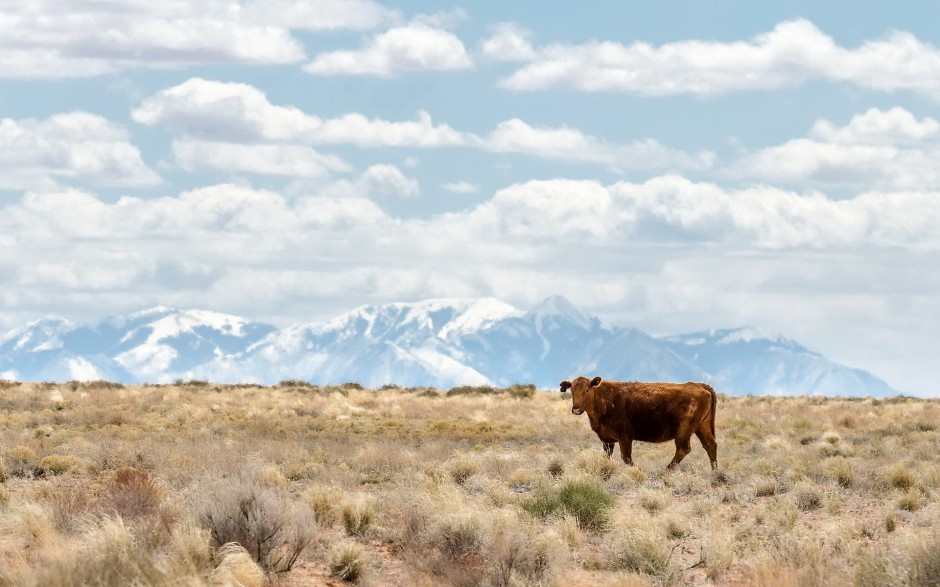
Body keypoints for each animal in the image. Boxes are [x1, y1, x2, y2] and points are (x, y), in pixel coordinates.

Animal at [560, 376, 720, 474]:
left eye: (587, 389)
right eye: (572, 390)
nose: (576, 409)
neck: (602, 398)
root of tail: (700, 386)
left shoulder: (625, 436)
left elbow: (626, 458)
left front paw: (640, 470)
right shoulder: (608, 440)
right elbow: (607, 456)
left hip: (684, 431)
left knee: (683, 449)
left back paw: (665, 471)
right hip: (702, 427)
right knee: (710, 445)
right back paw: (715, 471)